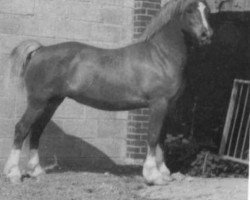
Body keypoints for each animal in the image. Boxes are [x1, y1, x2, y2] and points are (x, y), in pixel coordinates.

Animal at [3, 0, 212, 185]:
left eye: (207, 10)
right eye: (189, 10)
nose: (206, 35)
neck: (160, 56)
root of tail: (41, 50)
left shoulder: (168, 107)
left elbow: (161, 138)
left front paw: (163, 173)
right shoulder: (158, 104)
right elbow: (153, 137)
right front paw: (153, 176)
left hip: (52, 103)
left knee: (36, 131)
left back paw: (36, 171)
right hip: (38, 102)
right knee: (22, 128)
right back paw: (13, 174)